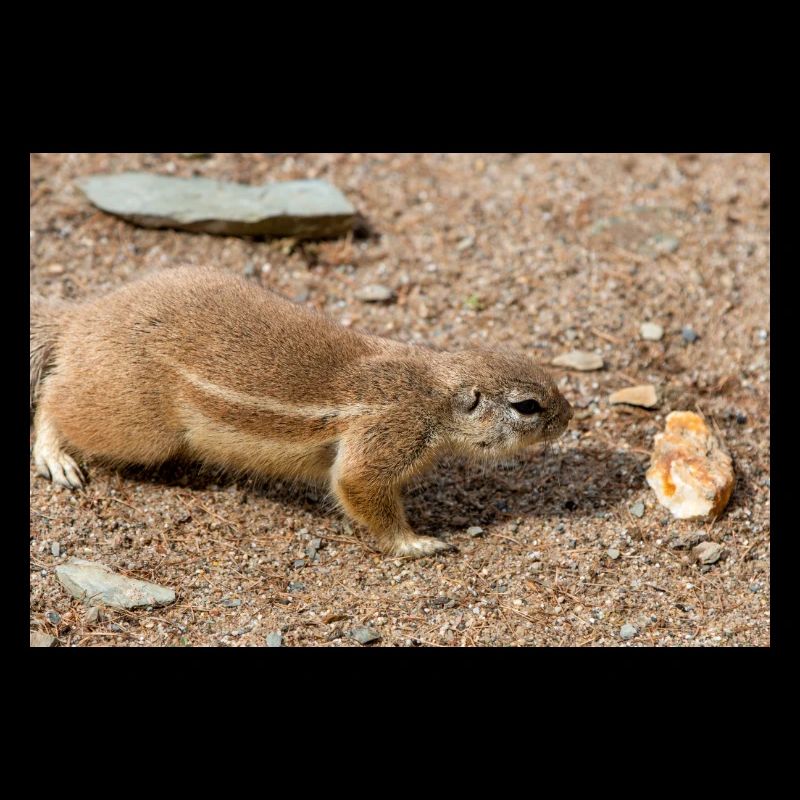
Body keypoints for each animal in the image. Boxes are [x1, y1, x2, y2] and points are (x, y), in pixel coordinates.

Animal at [30, 267, 573, 557]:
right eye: (527, 406)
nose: (570, 417)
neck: (431, 387)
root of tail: (83, 317)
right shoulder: (389, 431)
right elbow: (358, 485)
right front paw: (417, 543)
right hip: (137, 425)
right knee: (54, 401)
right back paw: (56, 455)